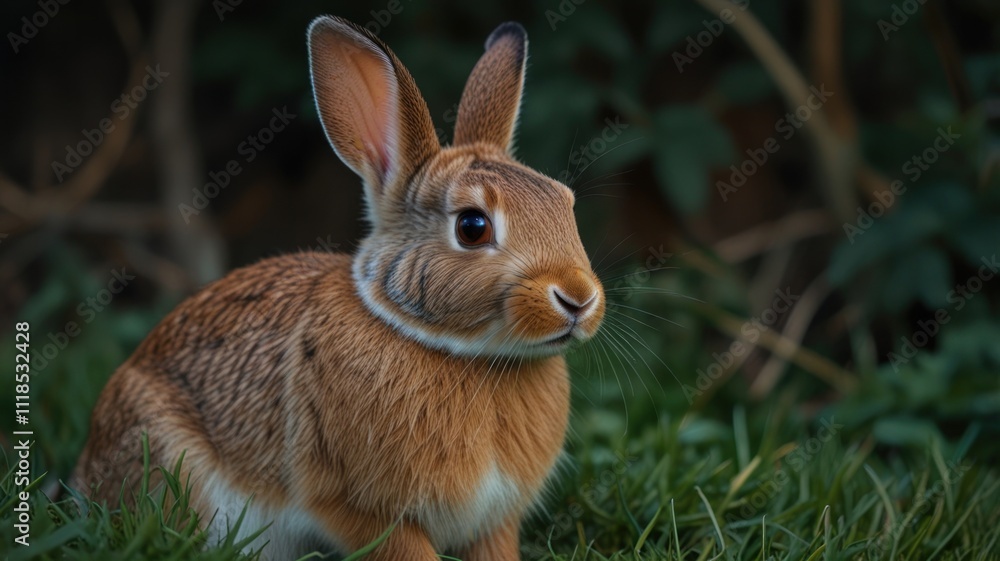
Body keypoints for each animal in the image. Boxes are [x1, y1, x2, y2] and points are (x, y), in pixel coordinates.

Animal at [71, 14, 605, 561]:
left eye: (565, 203)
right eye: (472, 227)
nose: (578, 298)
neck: (459, 350)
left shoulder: (494, 521)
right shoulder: (356, 507)